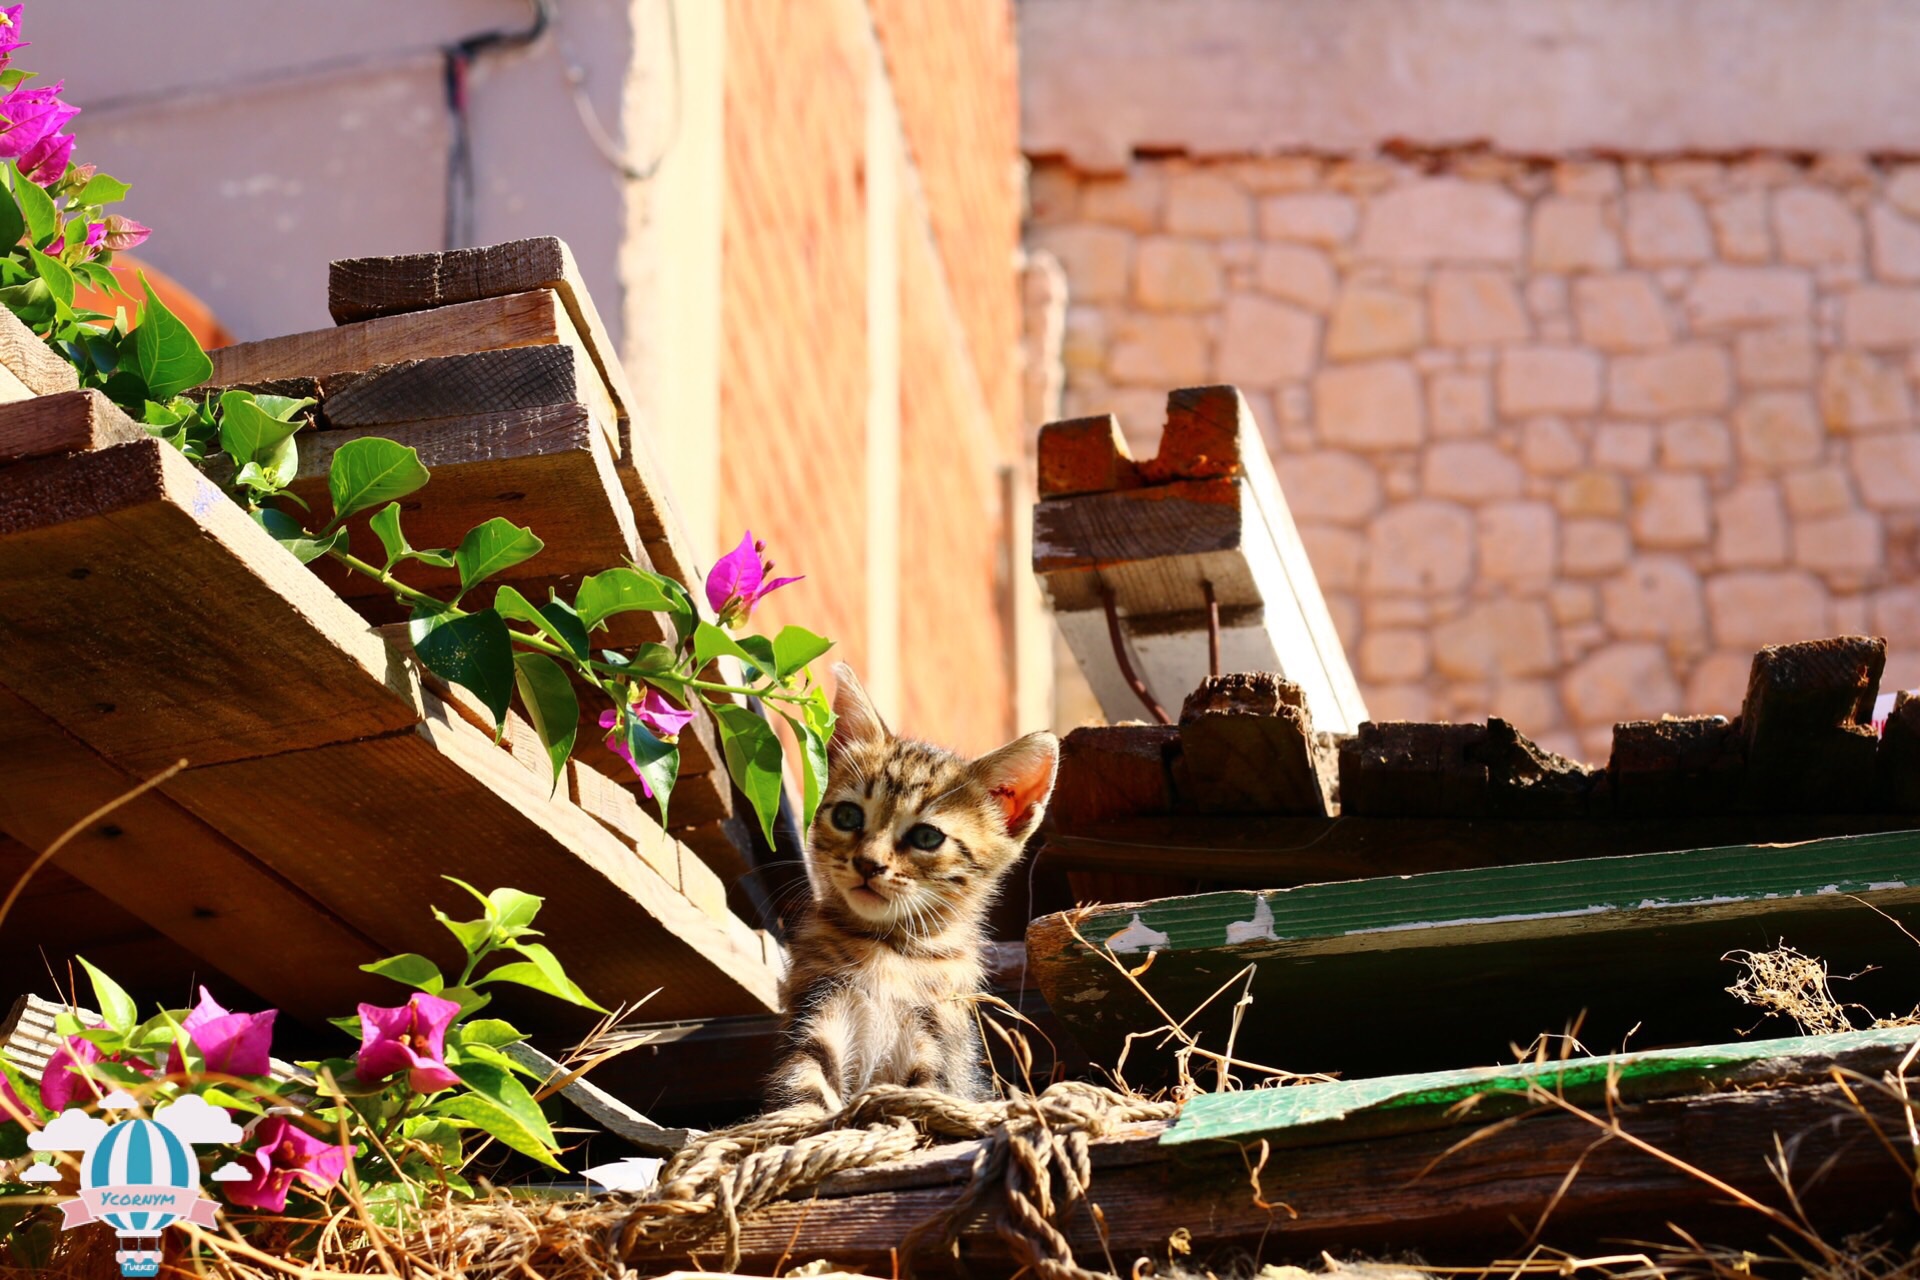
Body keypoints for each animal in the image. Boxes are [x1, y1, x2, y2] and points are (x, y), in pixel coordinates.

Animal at [768, 667, 1067, 1105]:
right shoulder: (818, 1012)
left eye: (927, 837)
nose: (868, 863)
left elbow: (921, 1099)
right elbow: (804, 1090)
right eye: (846, 816)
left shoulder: (935, 1045)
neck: (888, 950)